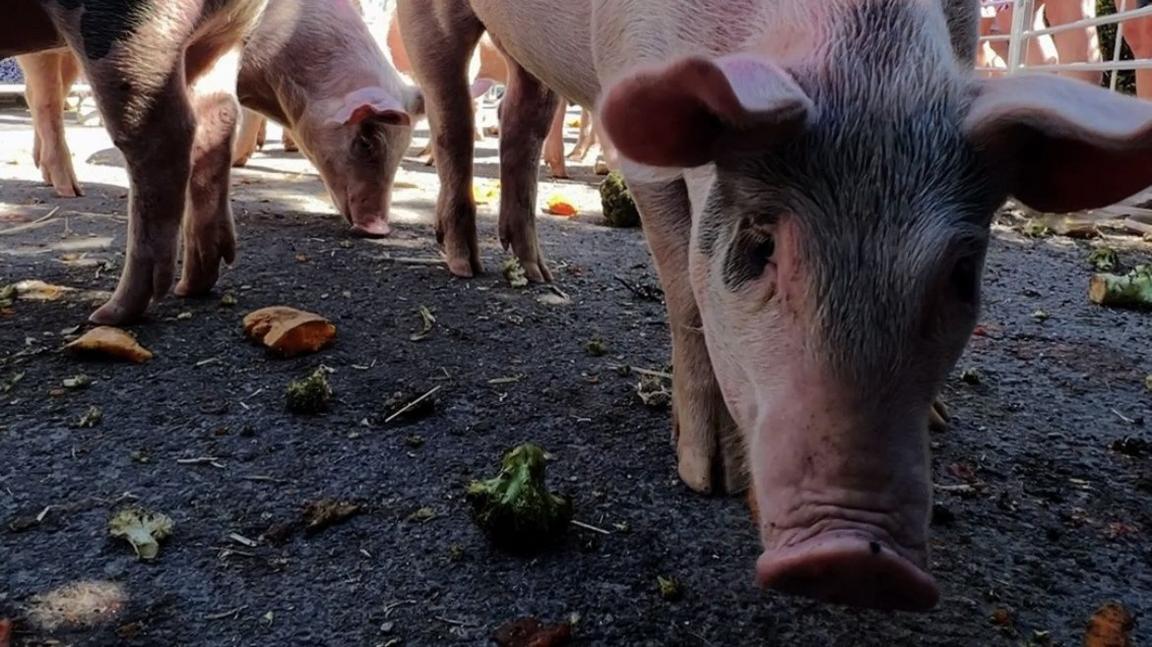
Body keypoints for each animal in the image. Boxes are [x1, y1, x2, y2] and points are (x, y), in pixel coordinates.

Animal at [403, 0, 1152, 607]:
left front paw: (940, 419)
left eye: (963, 274)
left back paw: (538, 274)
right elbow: (685, 291)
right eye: (757, 243)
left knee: (520, 116)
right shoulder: (635, 104)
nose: (858, 558)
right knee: (452, 112)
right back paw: (464, 264)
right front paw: (707, 479)